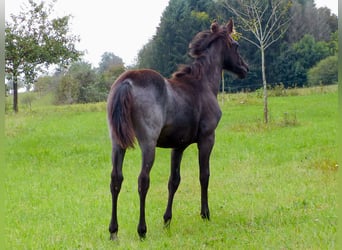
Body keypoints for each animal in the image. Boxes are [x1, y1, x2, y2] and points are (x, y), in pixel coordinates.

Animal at [107, 19, 248, 238]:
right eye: (236, 45)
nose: (245, 68)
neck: (202, 84)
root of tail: (127, 82)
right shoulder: (207, 138)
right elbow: (204, 175)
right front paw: (205, 214)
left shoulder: (178, 146)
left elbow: (174, 180)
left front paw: (167, 220)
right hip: (148, 144)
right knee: (142, 180)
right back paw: (142, 230)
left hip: (117, 143)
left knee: (116, 179)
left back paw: (114, 231)